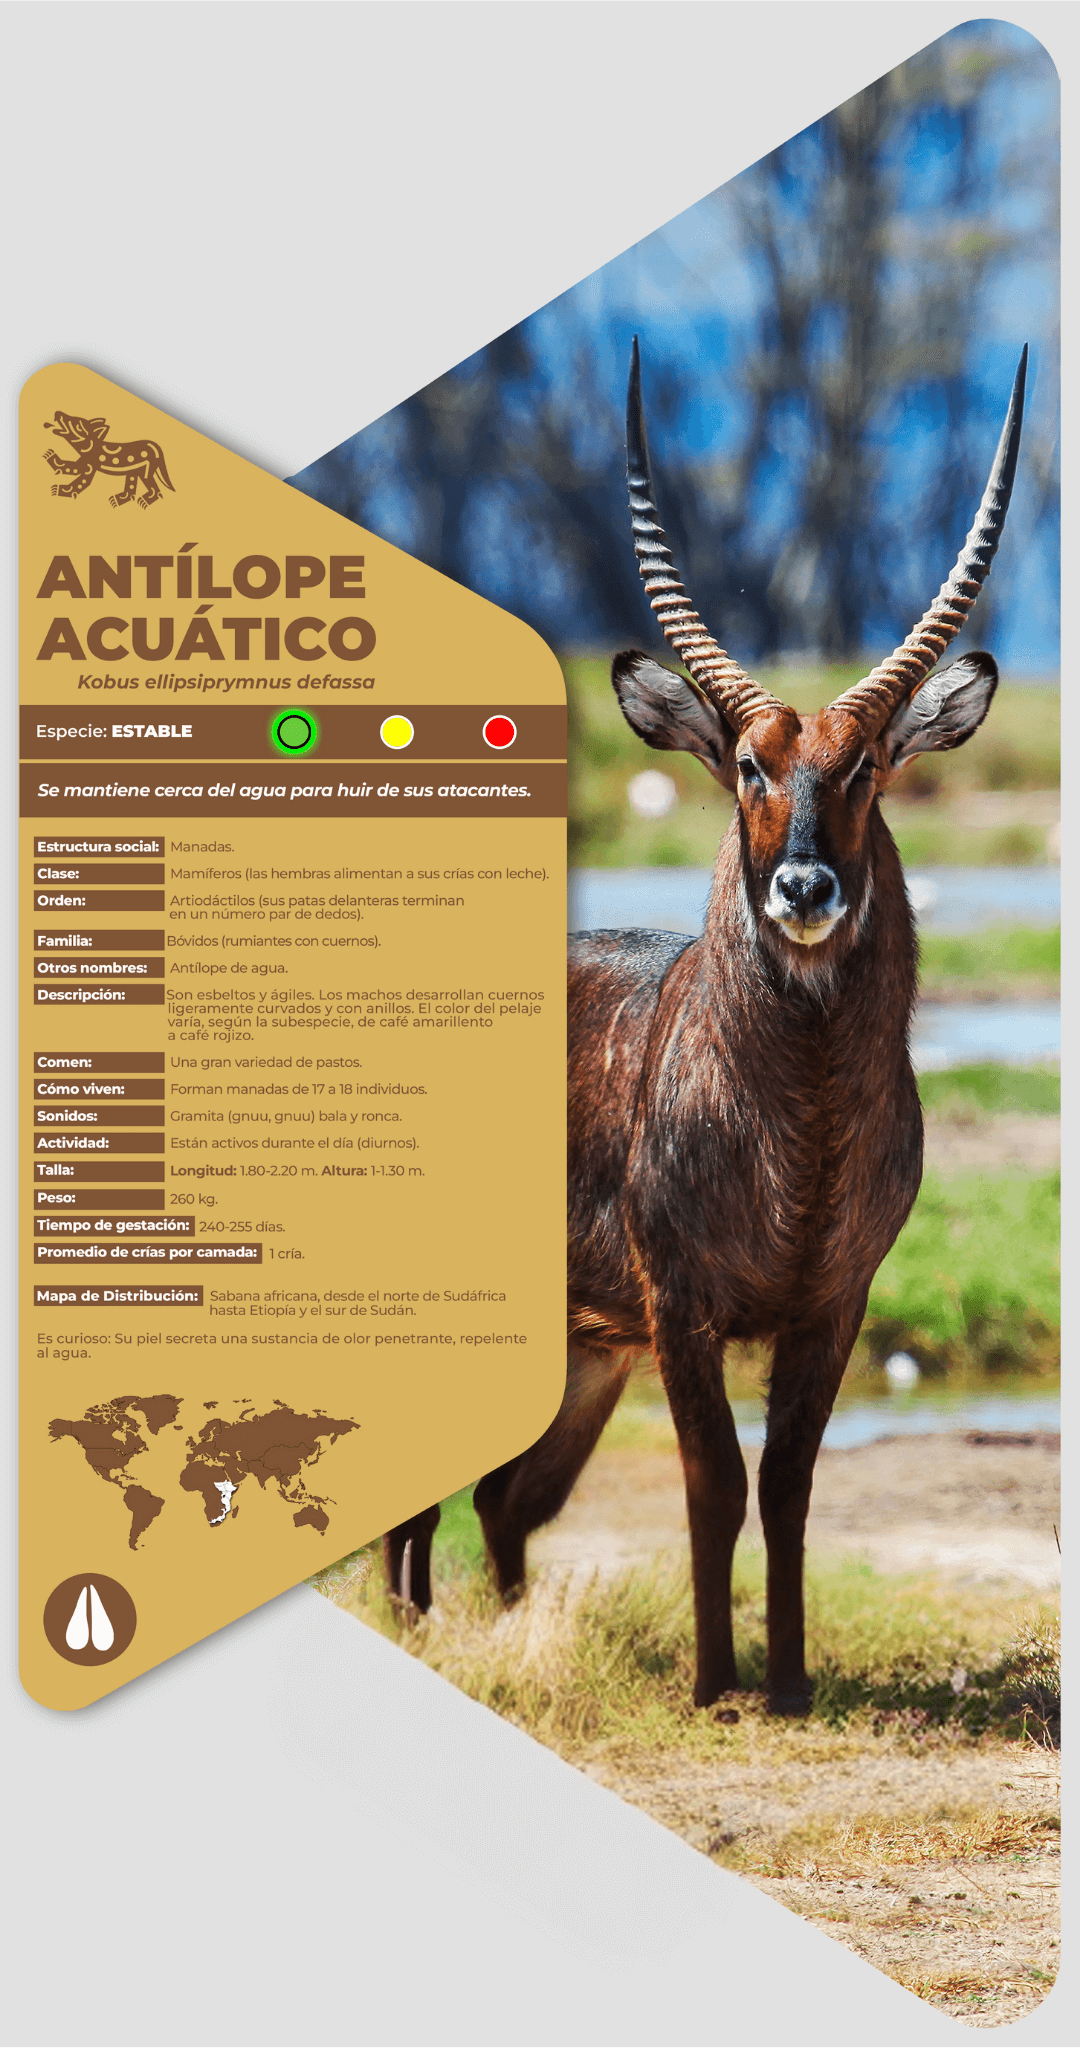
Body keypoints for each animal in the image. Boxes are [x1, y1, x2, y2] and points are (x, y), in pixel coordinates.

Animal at [386, 340, 1027, 1713]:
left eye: (865, 765)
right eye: (746, 764)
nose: (803, 888)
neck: (803, 1127)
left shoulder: (831, 1304)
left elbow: (785, 1490)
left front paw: (782, 1682)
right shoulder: (681, 1308)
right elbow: (713, 1485)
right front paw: (715, 1681)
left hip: (582, 1351)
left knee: (504, 1498)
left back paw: (499, 1626)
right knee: (440, 1492)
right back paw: (417, 1626)